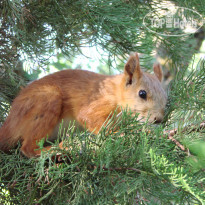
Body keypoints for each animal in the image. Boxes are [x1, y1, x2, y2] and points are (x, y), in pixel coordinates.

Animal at [0, 52, 167, 157]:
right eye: (142, 93)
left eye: (166, 97)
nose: (158, 119)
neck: (117, 93)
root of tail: (9, 123)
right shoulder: (100, 103)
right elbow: (90, 118)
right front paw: (120, 134)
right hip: (47, 99)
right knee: (29, 148)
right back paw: (61, 148)